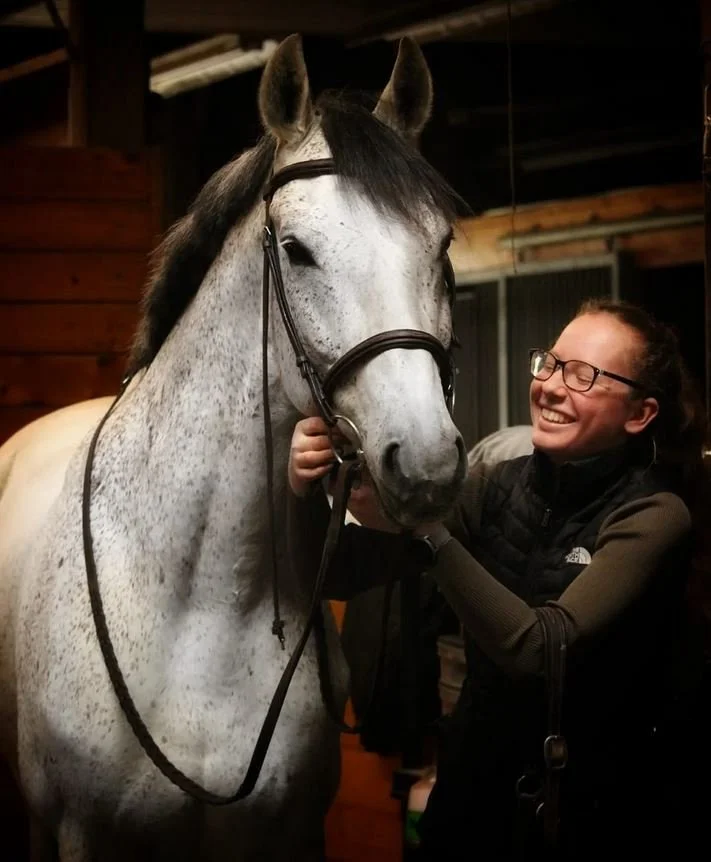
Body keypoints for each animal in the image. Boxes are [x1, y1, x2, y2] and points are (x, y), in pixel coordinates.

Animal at [0, 34, 467, 860]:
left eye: (440, 245)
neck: (205, 601)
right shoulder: (81, 835)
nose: (426, 465)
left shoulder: (290, 832)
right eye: (297, 250)